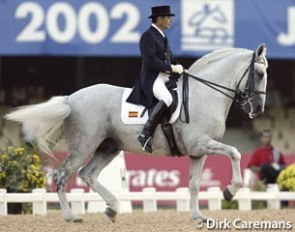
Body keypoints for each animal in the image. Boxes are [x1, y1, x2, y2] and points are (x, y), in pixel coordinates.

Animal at [5, 44, 270, 223]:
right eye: (260, 74)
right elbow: (235, 153)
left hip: (109, 147)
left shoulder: (198, 151)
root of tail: (71, 99)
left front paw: (198, 217)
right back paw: (72, 216)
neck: (205, 94)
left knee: (87, 174)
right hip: (84, 146)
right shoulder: (202, 143)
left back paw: (112, 208)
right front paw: (229, 191)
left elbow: (194, 184)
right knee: (63, 176)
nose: (258, 109)